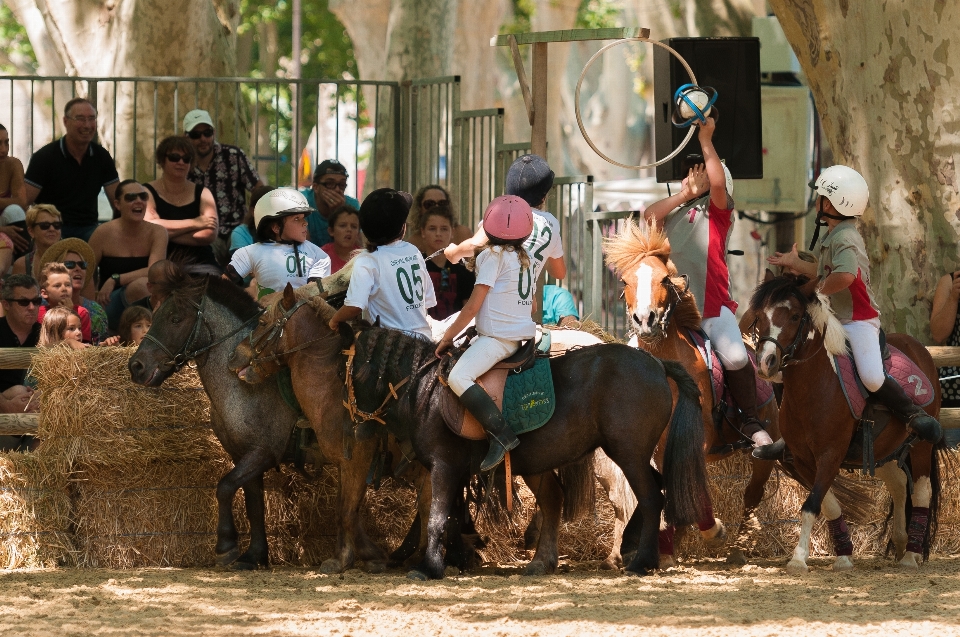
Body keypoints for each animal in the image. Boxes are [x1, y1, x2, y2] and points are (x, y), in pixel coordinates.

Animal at [608, 216, 780, 564]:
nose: (645, 320)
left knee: (752, 494)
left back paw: (740, 542)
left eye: (663, 279)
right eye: (625, 281)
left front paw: (709, 531)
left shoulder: (694, 438)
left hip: (764, 451)